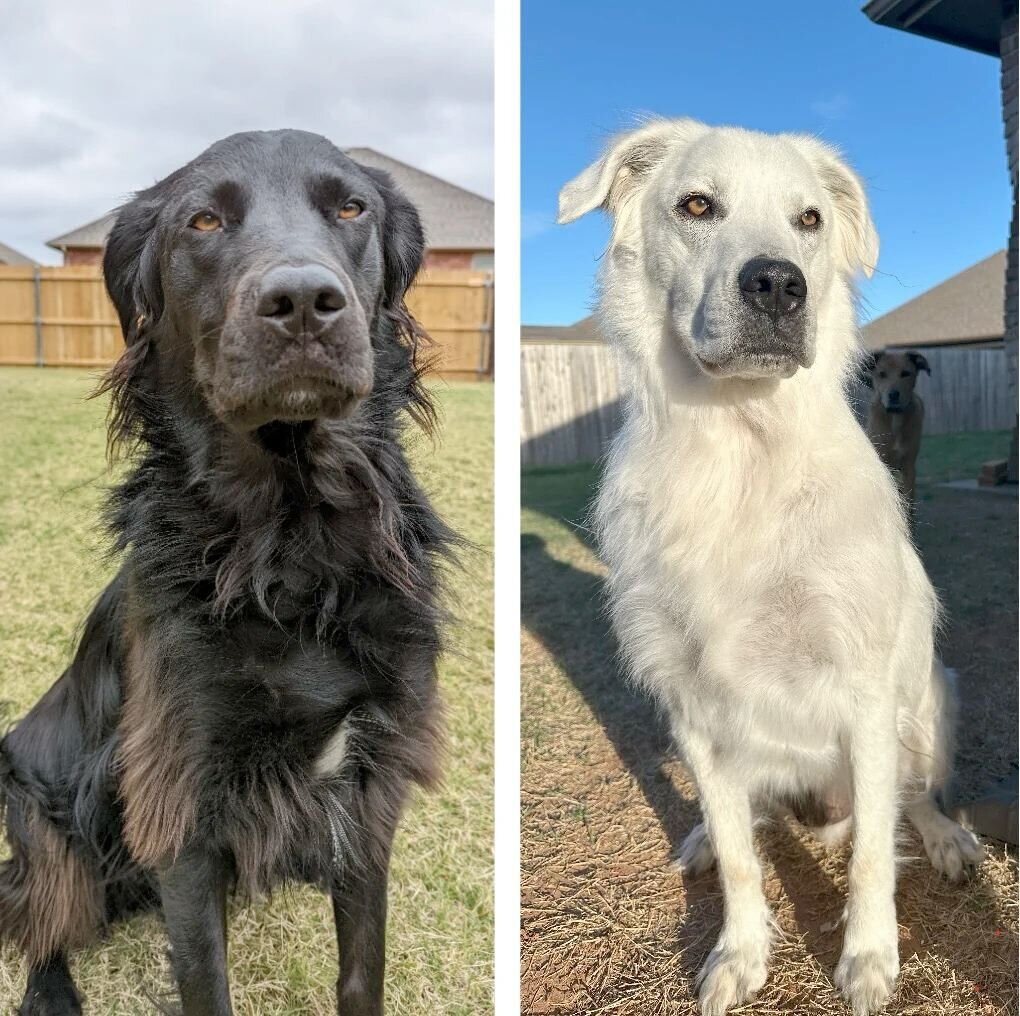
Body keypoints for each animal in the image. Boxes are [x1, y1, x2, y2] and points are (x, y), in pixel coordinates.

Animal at [0, 129, 454, 1016]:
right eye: (202, 221)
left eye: (352, 207)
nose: (304, 301)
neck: (291, 544)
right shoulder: (182, 803)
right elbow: (205, 979)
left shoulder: (370, 789)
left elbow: (362, 968)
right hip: (35, 815)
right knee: (42, 917)